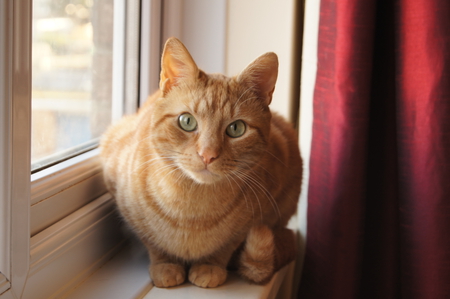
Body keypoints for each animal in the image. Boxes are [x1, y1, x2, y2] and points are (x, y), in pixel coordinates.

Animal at [99, 37, 302, 288]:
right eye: (187, 121)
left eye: (237, 128)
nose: (207, 154)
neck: (191, 209)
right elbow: (152, 241)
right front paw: (165, 264)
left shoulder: (258, 213)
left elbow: (227, 244)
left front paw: (210, 266)